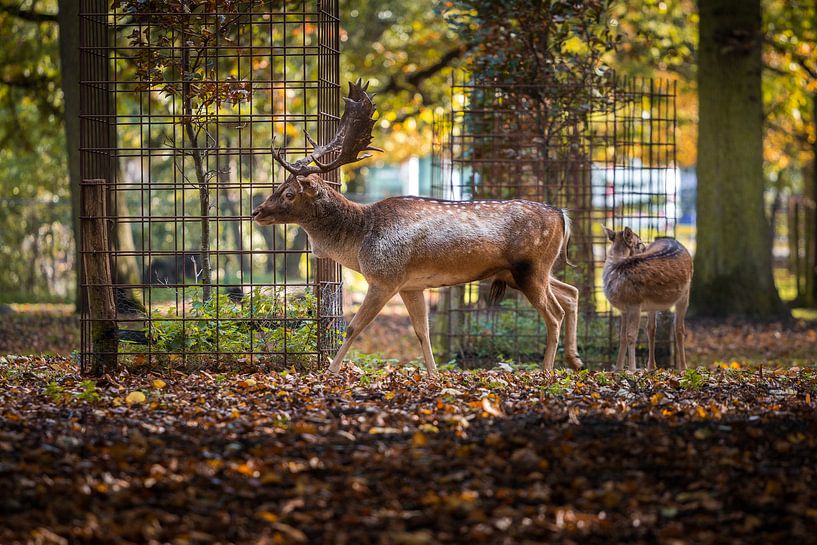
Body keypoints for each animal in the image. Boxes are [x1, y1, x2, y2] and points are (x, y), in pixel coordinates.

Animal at [252, 82, 584, 374]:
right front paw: (433, 374)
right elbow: (422, 331)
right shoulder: (411, 285)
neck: (358, 242)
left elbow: (353, 328)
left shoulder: (385, 278)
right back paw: (575, 360)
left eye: (289, 193)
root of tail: (563, 215)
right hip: (524, 272)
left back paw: (547, 370)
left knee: (554, 314)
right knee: (571, 292)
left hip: (530, 268)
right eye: (279, 187)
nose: (256, 212)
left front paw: (330, 371)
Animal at [604, 224, 692, 370]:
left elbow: (631, 335)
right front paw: (618, 369)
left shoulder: (634, 303)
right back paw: (651, 367)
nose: (645, 248)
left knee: (679, 329)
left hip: (685, 294)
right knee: (651, 328)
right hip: (653, 305)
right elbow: (622, 336)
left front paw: (632, 370)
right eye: (639, 243)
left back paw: (683, 368)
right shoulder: (623, 309)